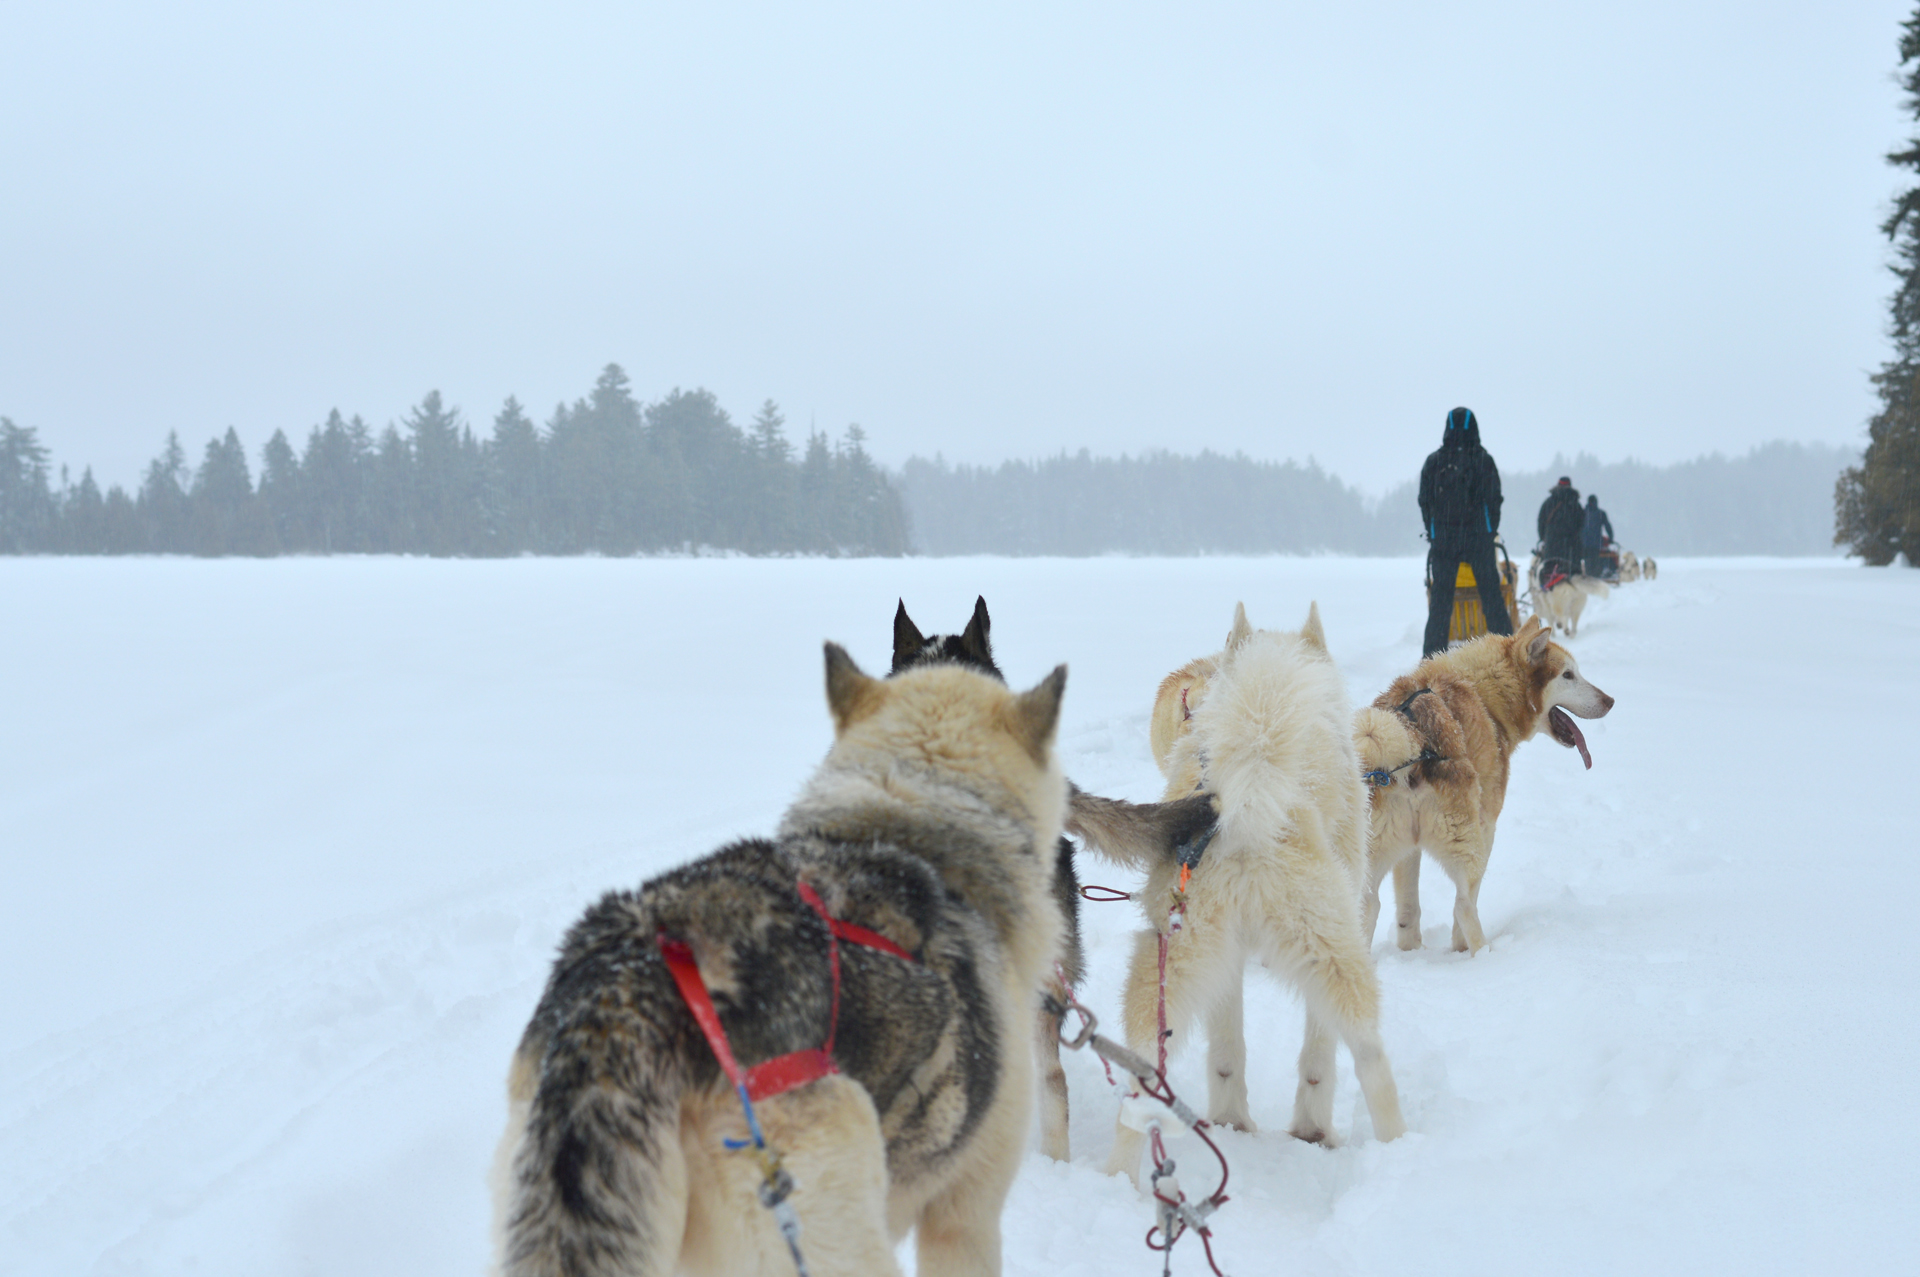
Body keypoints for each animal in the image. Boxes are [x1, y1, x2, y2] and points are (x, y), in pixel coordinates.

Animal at [1105, 606, 1405, 1175]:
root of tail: (1241, 822)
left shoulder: (1227, 964)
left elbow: (1227, 1051)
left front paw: (1231, 1121)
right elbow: (1318, 1056)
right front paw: (1311, 1130)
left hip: (1165, 967)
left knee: (1140, 1085)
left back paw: (1124, 1179)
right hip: (1339, 956)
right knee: (1371, 1056)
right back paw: (1400, 1145)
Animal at [1359, 614, 1612, 952]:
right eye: (1568, 675)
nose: (1610, 701)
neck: (1484, 693)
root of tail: (1413, 736)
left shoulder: (1409, 849)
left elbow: (1408, 910)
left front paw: (1410, 950)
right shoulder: (1487, 825)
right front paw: (1459, 948)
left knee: (1369, 905)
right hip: (1471, 845)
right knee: (1463, 905)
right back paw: (1484, 954)